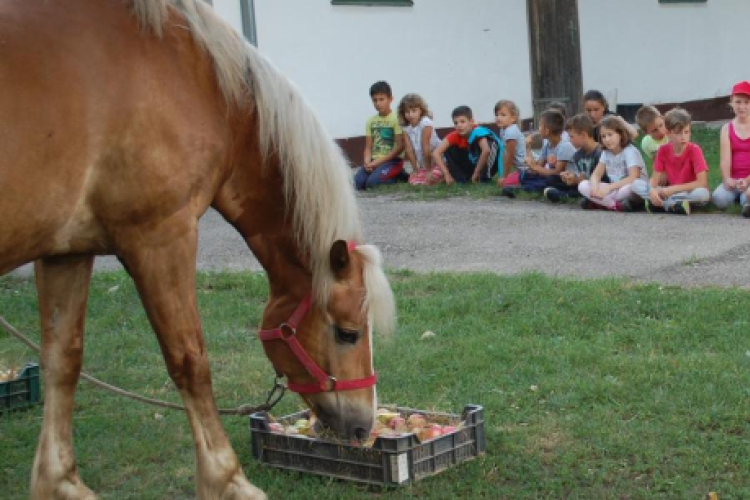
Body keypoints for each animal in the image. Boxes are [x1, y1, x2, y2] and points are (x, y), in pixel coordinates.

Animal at [0, 1, 400, 498]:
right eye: (348, 333)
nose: (364, 427)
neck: (199, 81)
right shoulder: (161, 236)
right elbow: (190, 360)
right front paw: (227, 478)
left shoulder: (65, 250)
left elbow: (62, 359)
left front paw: (59, 482)